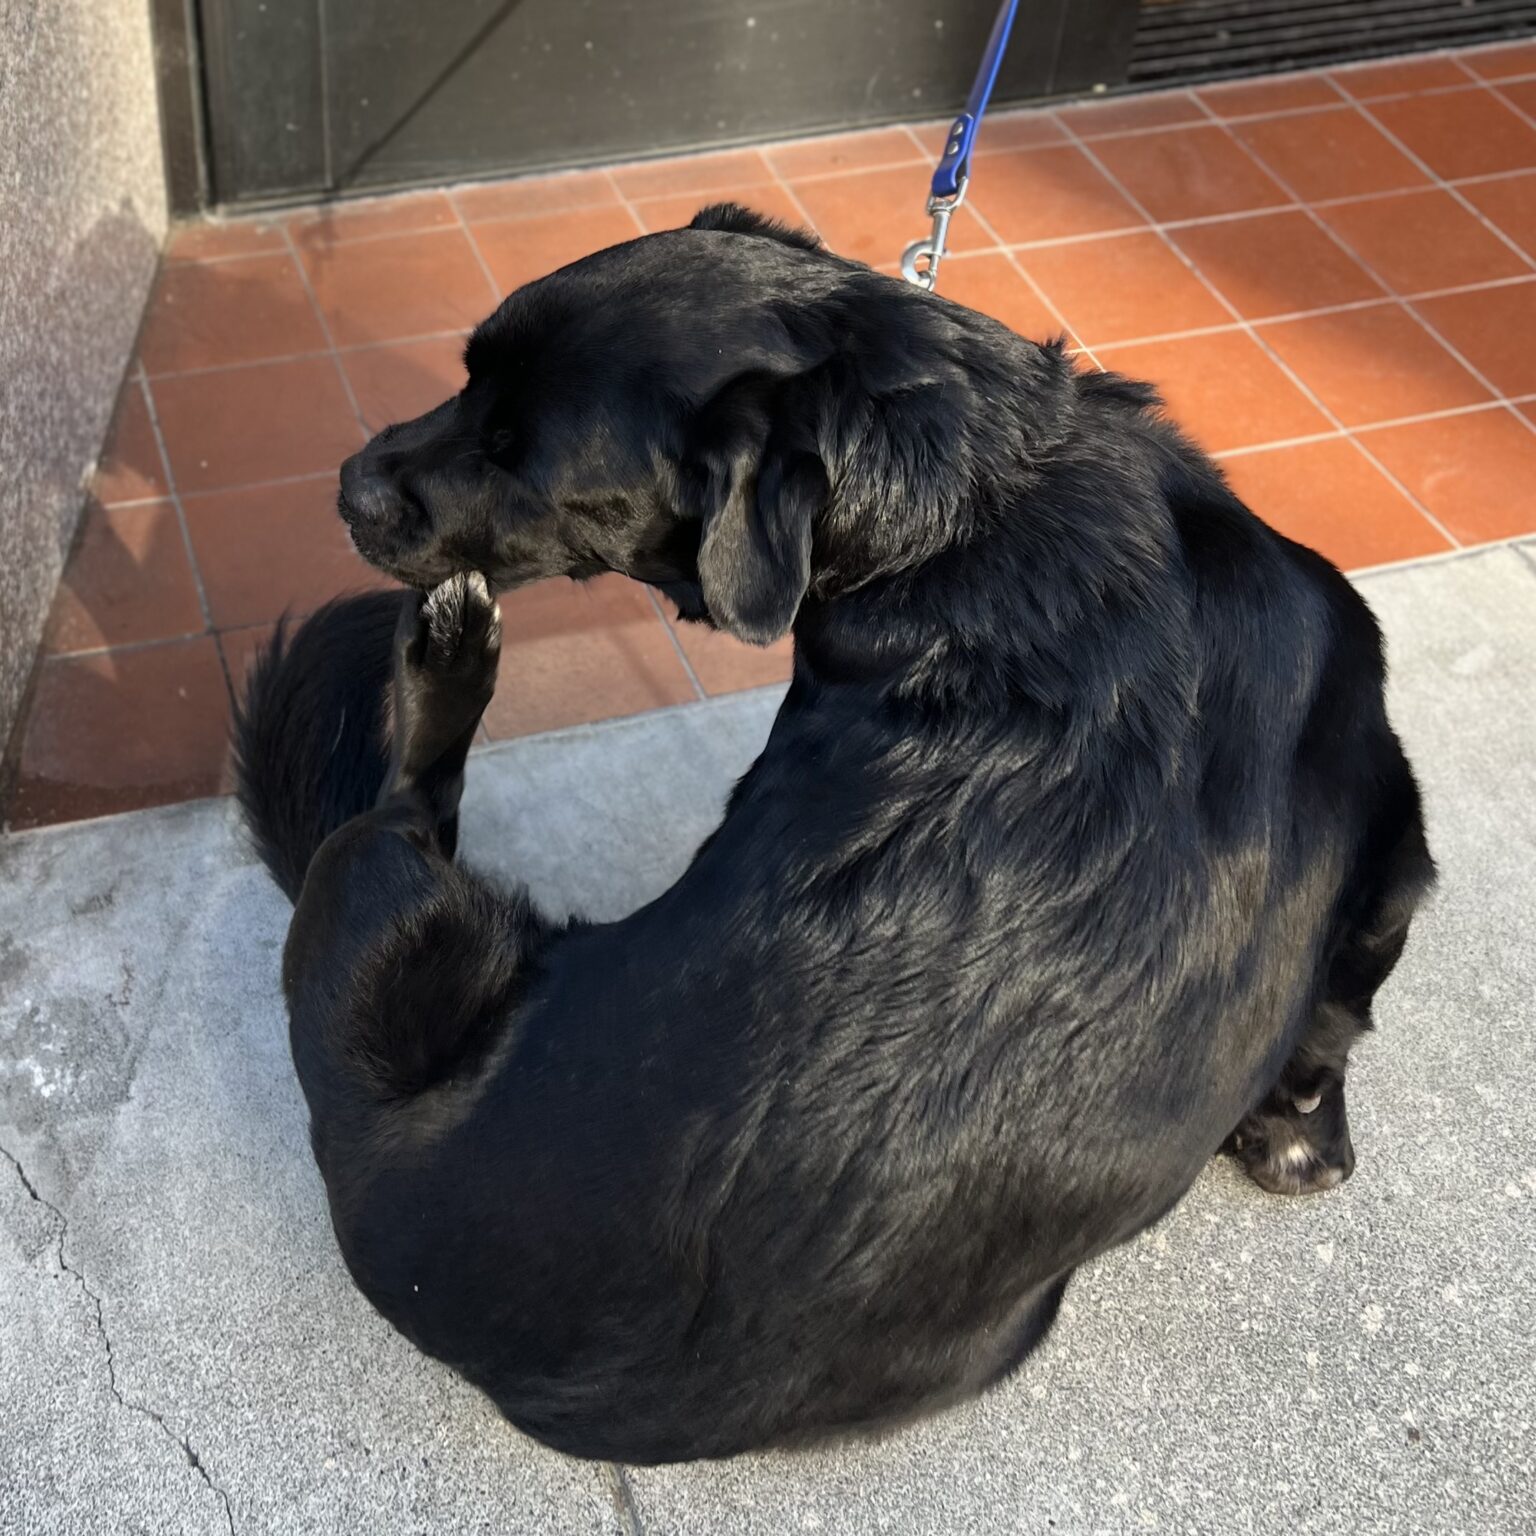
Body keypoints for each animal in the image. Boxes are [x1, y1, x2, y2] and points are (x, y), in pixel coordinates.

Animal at [233, 204, 1431, 1462]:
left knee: (398, 804)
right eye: (467, 382)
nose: (348, 488)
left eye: (521, 459)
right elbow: (1336, 1012)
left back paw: (446, 649)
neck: (977, 501)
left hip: (374, 897)